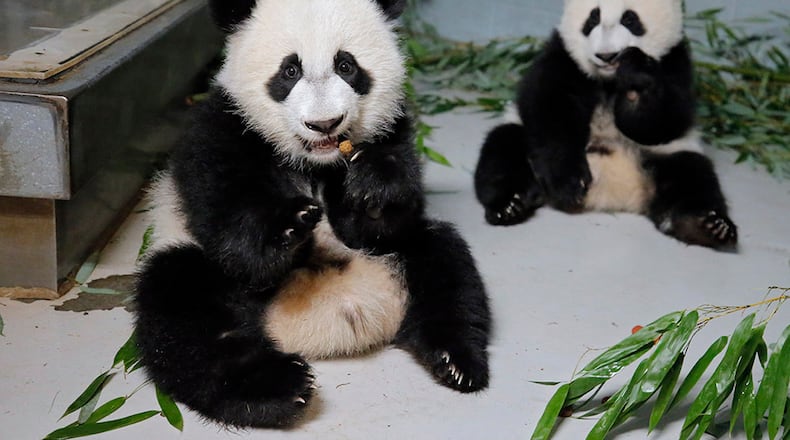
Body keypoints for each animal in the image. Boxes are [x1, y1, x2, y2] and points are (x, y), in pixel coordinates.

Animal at [133, 0, 491, 429]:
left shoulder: (394, 129)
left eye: (346, 65)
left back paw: (456, 360)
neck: (314, 162)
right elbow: (236, 243)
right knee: (185, 312)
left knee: (445, 264)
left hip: (408, 259)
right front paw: (288, 224)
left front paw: (373, 183)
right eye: (290, 71)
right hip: (186, 259)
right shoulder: (221, 134)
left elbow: (381, 219)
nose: (325, 123)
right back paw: (278, 388)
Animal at [474, 0, 738, 250]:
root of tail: (614, 192)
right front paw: (569, 182)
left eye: (630, 19)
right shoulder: (564, 55)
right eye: (593, 17)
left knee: (693, 179)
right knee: (503, 152)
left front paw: (635, 77)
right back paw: (508, 205)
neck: (609, 80)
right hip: (520, 136)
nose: (607, 55)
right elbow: (549, 104)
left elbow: (665, 120)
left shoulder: (675, 62)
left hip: (670, 154)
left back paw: (708, 226)